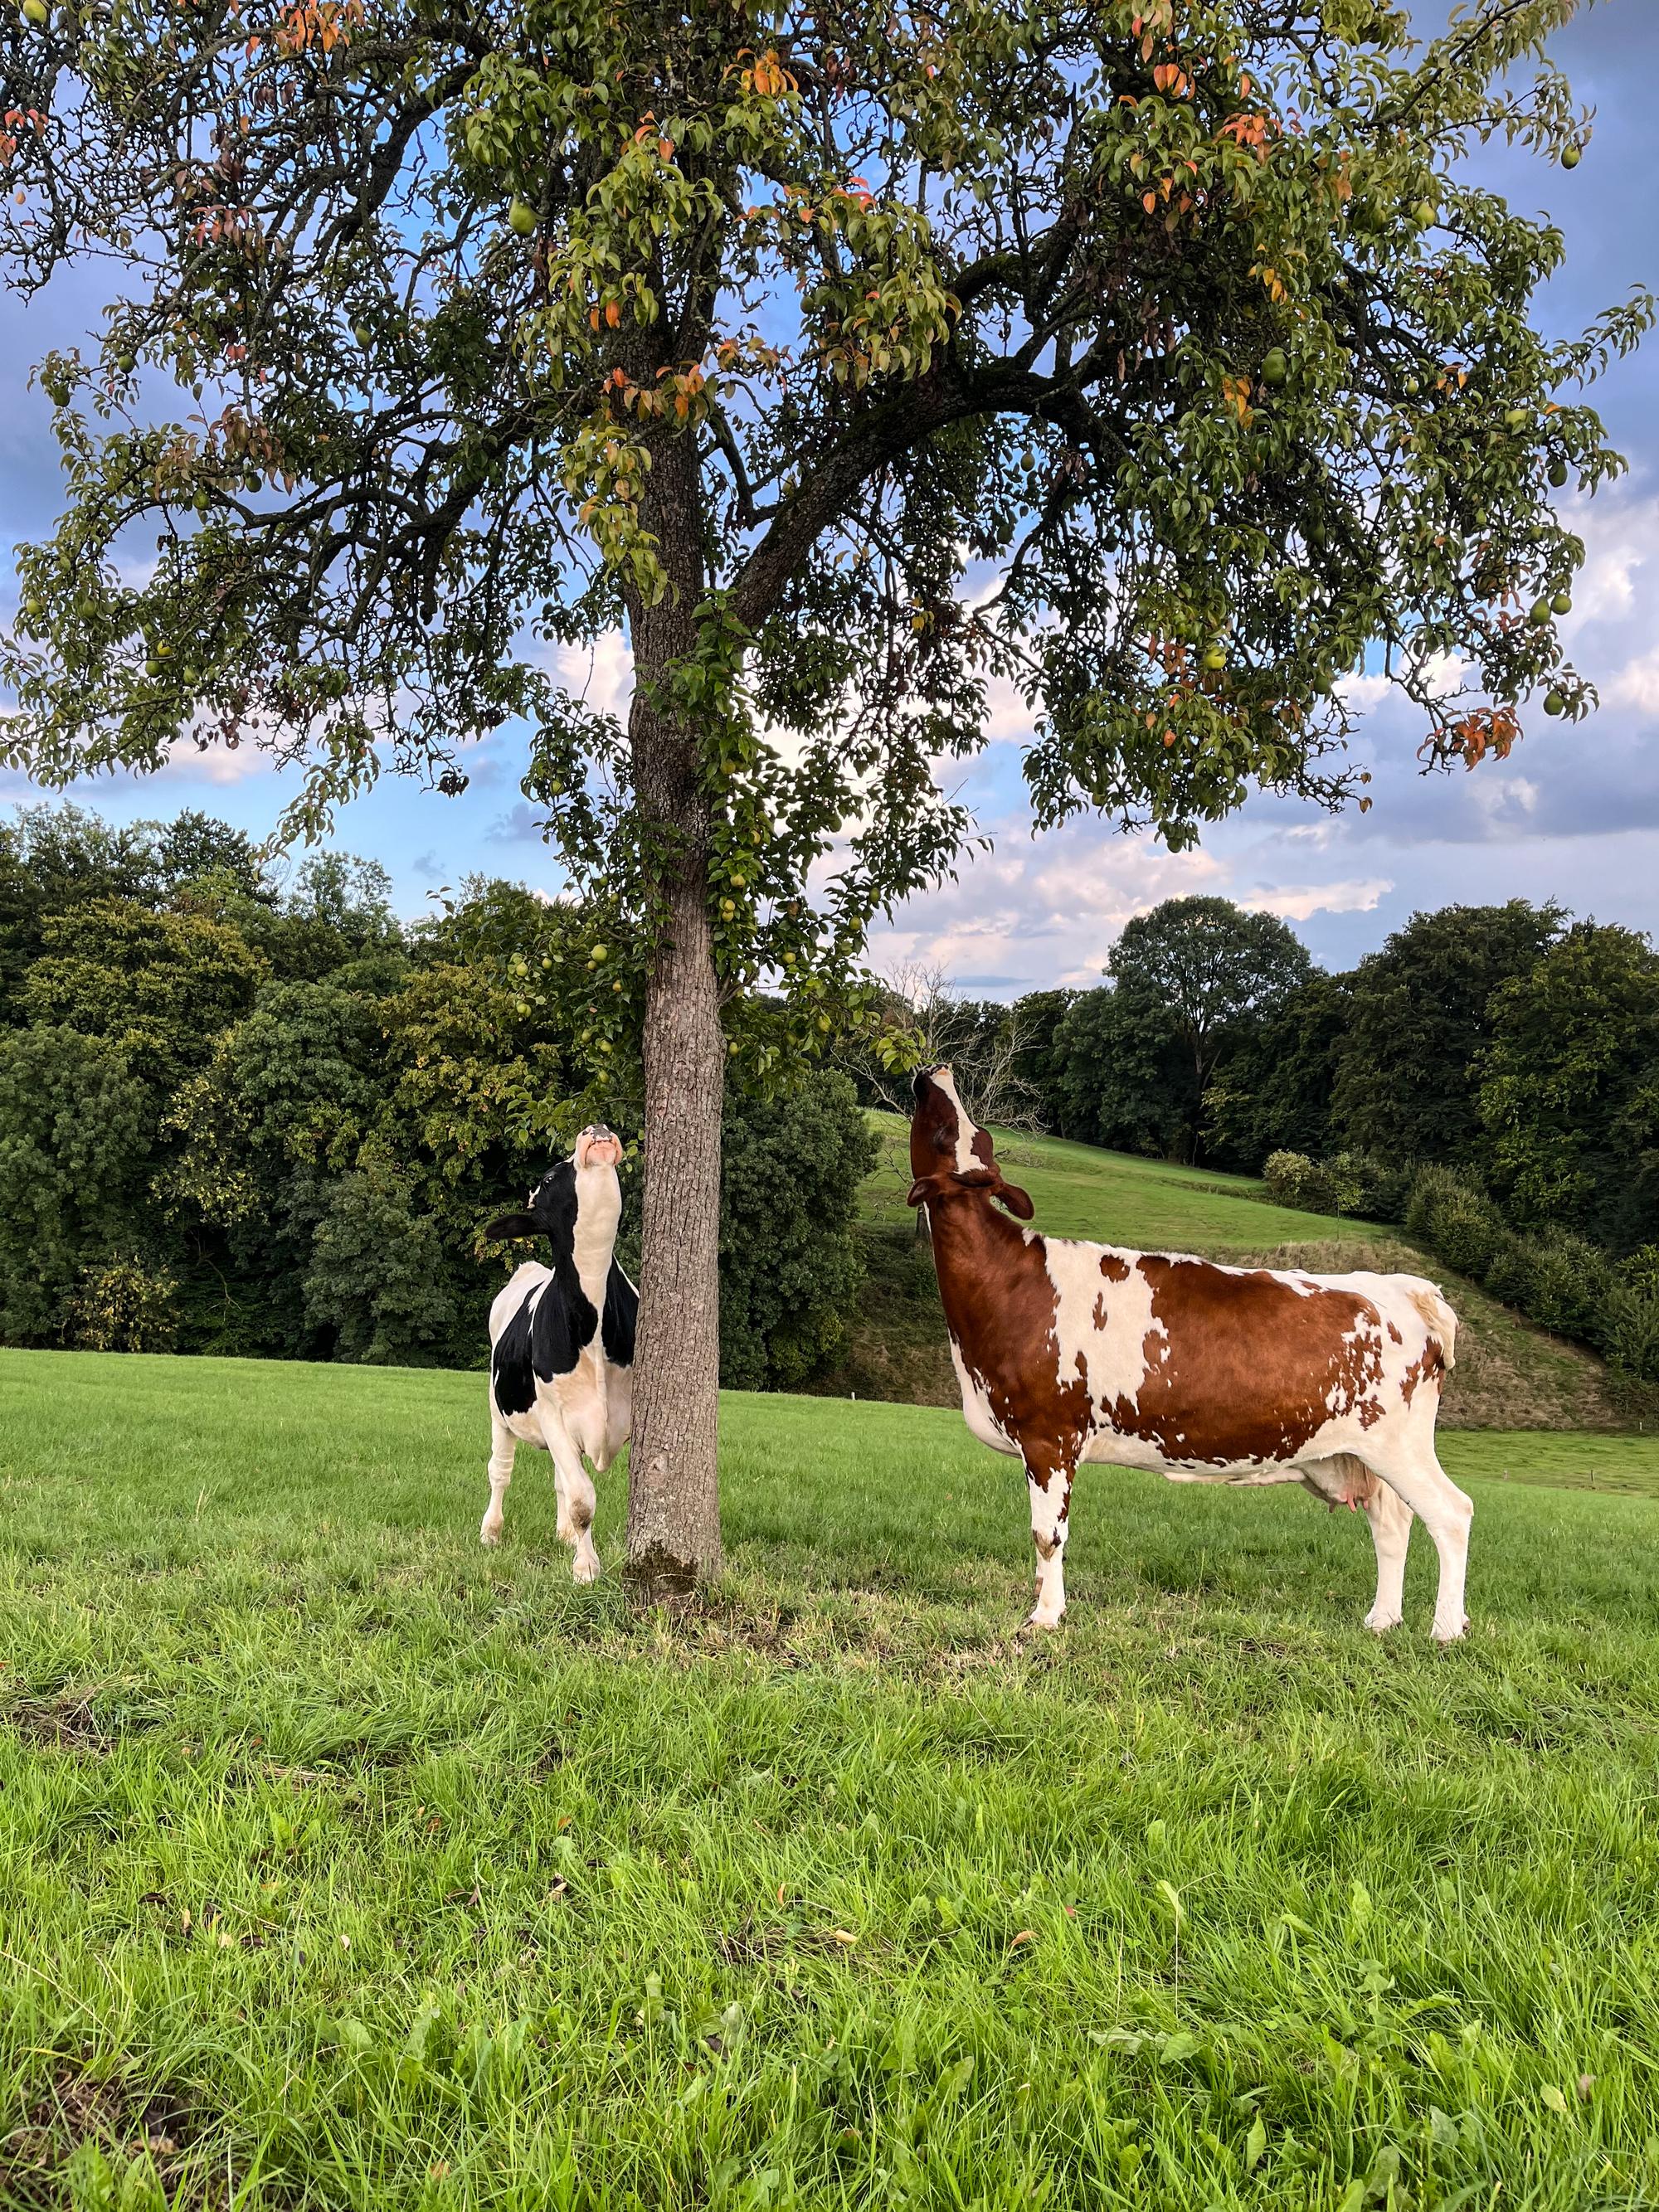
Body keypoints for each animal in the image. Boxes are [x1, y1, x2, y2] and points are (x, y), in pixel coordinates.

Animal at [479, 1123, 637, 1581]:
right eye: (549, 1178)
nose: (594, 1128)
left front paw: (574, 1543)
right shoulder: (552, 1414)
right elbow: (584, 1499)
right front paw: (586, 1567)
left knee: (558, 1479)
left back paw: (563, 1532)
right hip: (498, 1408)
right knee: (500, 1471)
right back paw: (490, 1531)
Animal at [910, 1066, 1472, 1641]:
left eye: (953, 1132)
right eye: (970, 1134)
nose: (935, 1073)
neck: (1006, 1284)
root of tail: (1406, 1286)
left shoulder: (1050, 1435)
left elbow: (1048, 1535)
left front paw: (1045, 1617)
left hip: (1398, 1444)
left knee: (1451, 1513)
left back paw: (1446, 1628)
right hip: (1358, 1453)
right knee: (1392, 1523)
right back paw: (1382, 1619)